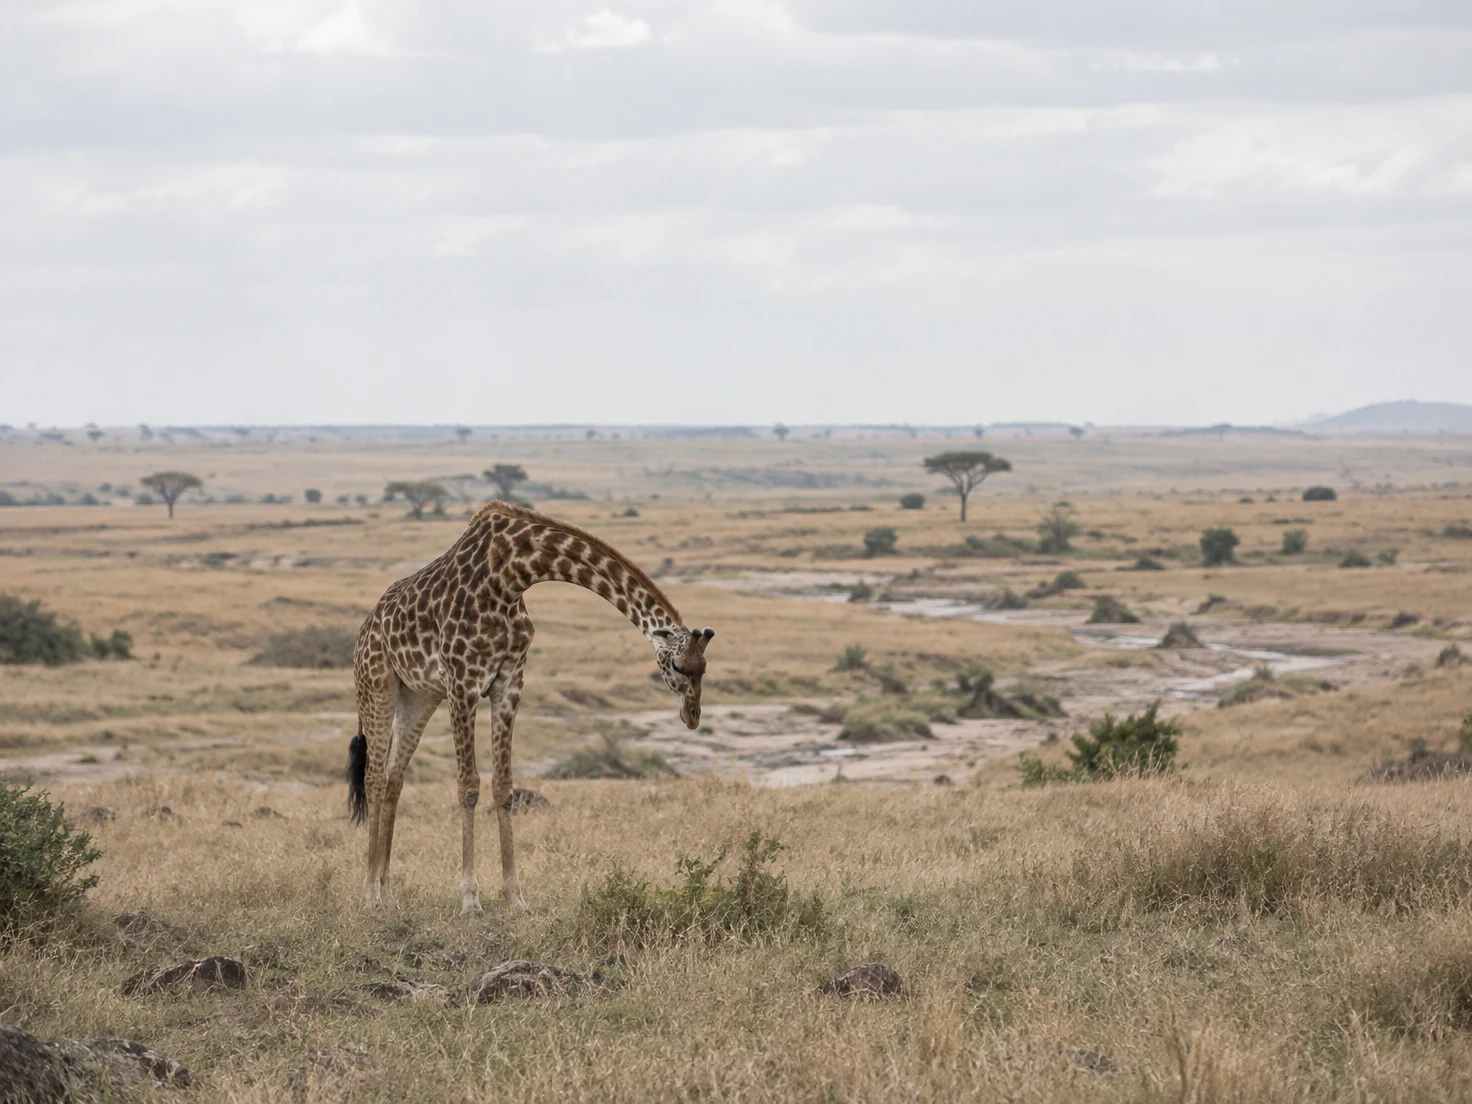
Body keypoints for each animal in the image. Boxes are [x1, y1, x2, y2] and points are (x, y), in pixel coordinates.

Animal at [346, 500, 714, 914]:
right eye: (680, 666)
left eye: (705, 668)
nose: (693, 716)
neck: (512, 574)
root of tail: (365, 627)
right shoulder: (462, 681)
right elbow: (468, 786)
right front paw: (470, 900)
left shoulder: (509, 682)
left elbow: (503, 786)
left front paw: (515, 897)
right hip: (376, 684)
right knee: (374, 778)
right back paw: (369, 896)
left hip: (419, 697)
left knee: (395, 778)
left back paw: (388, 892)